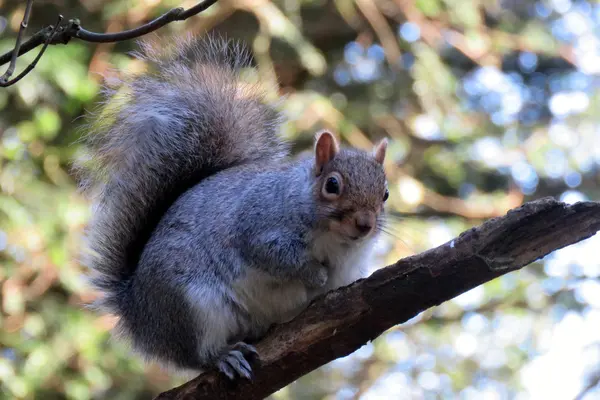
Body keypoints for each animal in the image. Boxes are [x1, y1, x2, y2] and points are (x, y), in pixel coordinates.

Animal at [77, 36, 390, 380]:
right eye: (332, 185)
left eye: (385, 194)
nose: (365, 224)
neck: (335, 240)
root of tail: (139, 313)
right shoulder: (260, 225)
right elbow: (274, 256)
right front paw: (314, 274)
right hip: (193, 305)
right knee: (198, 355)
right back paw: (223, 357)